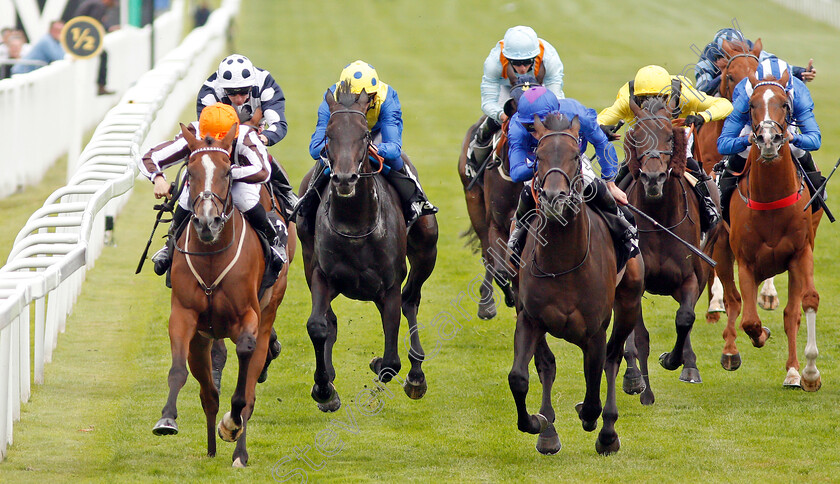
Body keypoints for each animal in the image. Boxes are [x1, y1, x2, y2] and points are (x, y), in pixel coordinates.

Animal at [152, 123, 296, 466]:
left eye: (227, 172)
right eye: (190, 171)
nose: (207, 221)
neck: (211, 256)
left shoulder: (249, 319)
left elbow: (243, 383)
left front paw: (231, 426)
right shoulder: (184, 316)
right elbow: (179, 371)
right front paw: (167, 418)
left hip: (268, 313)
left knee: (250, 393)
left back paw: (238, 452)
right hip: (202, 337)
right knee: (209, 394)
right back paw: (211, 450)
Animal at [296, 82, 440, 408]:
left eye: (364, 134)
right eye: (328, 134)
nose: (344, 178)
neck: (355, 225)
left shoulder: (389, 285)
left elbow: (390, 362)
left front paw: (382, 364)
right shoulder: (321, 275)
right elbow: (318, 325)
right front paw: (324, 389)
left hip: (427, 249)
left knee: (410, 299)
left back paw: (416, 375)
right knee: (331, 320)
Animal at [506, 112, 644, 454]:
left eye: (572, 157)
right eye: (539, 157)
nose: (553, 197)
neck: (563, 262)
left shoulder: (594, 330)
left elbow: (594, 387)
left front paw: (591, 417)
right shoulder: (529, 318)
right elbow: (520, 377)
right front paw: (537, 422)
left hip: (629, 302)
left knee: (613, 357)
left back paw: (608, 433)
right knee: (548, 365)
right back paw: (548, 432)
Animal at [712, 68, 824, 392]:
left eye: (785, 104)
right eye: (751, 105)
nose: (768, 139)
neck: (772, 199)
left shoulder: (801, 253)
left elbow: (805, 303)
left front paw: (807, 373)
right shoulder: (746, 261)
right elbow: (749, 319)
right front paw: (759, 335)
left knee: (790, 313)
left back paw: (793, 370)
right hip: (721, 251)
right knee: (734, 301)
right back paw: (730, 351)